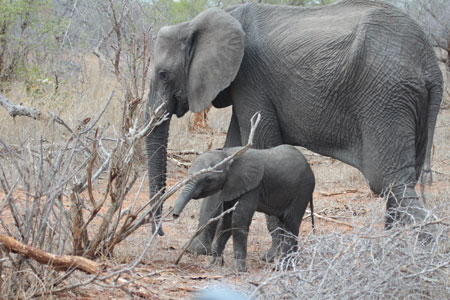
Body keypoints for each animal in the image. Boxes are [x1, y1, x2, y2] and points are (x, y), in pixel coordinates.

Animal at [146, 0, 442, 254]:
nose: (160, 231)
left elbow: (261, 148)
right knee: (402, 181)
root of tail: (432, 68)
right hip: (407, 102)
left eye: (163, 74)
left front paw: (275, 256)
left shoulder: (250, 78)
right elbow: (231, 152)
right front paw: (197, 252)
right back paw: (393, 251)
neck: (197, 22)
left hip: (386, 97)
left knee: (388, 181)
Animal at [173, 145, 316, 272]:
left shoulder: (252, 186)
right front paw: (214, 264)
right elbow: (226, 221)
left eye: (208, 180)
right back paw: (292, 264)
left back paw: (283, 267)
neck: (228, 154)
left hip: (303, 190)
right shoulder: (231, 187)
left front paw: (236, 270)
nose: (174, 215)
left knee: (291, 223)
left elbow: (239, 220)